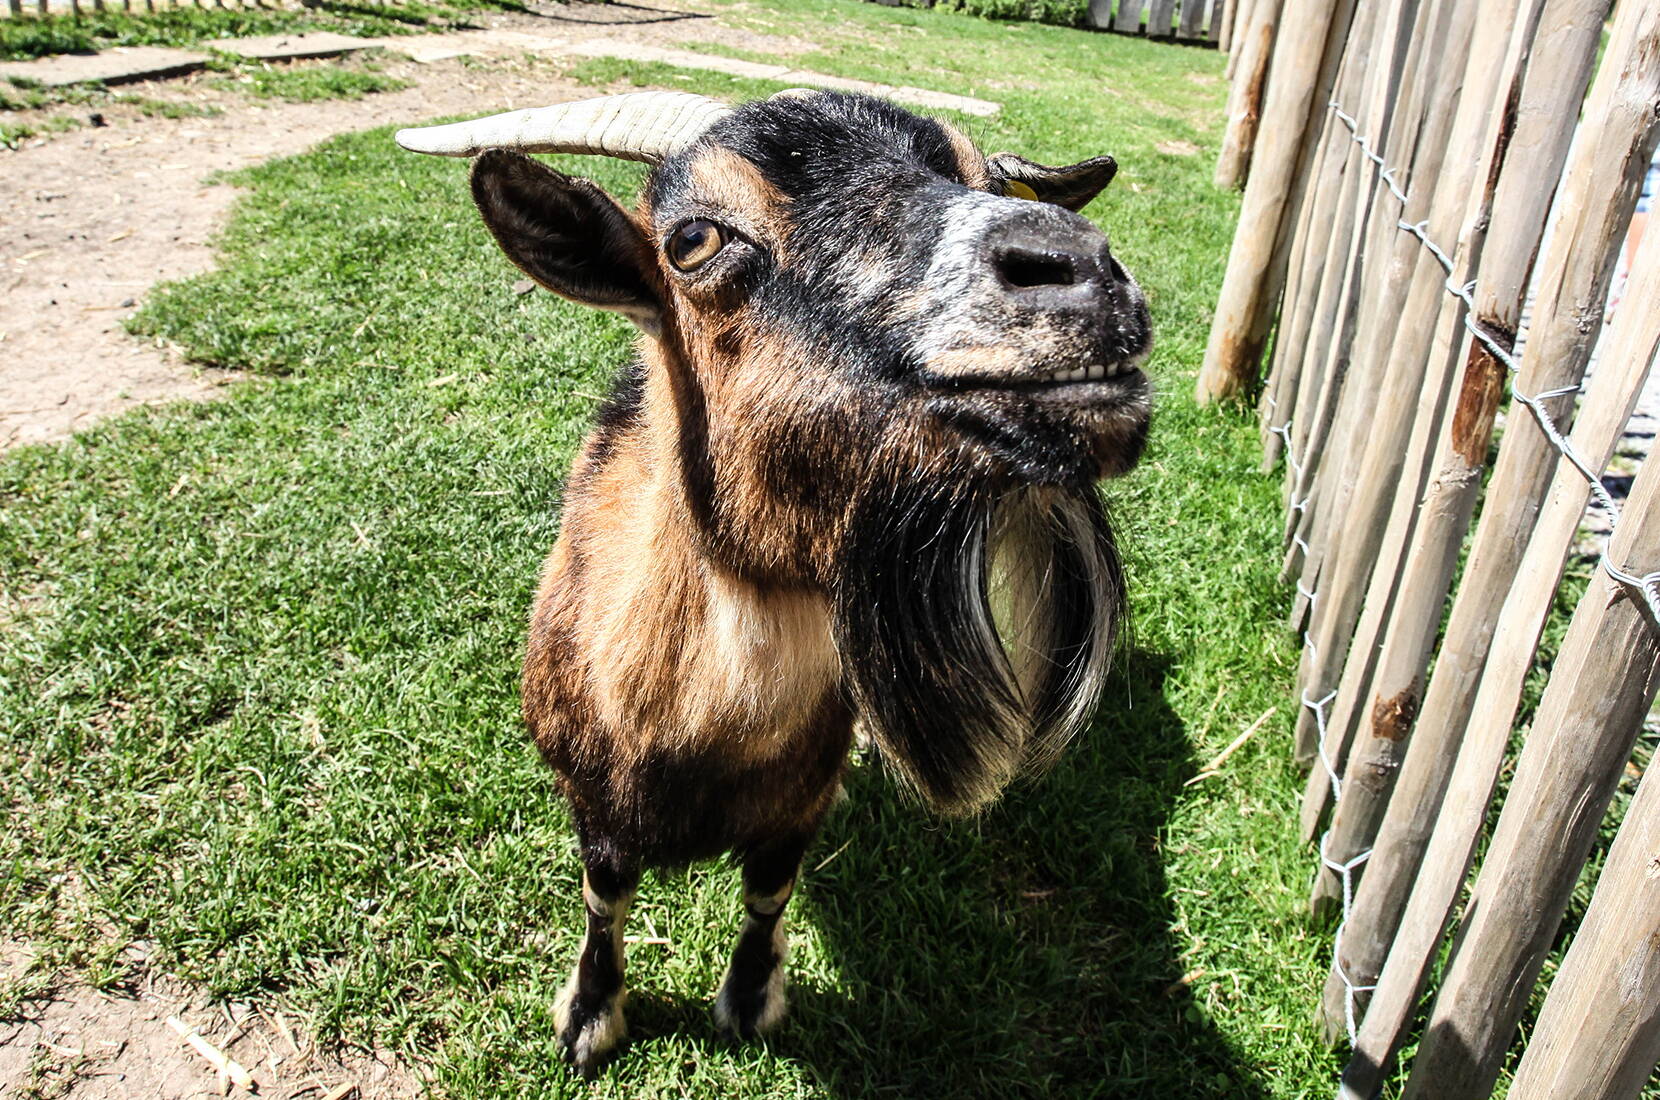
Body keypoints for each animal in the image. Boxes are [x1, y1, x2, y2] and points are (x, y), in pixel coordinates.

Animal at [398, 90, 1155, 1068]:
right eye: (693, 240)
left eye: (987, 180)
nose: (1082, 268)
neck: (697, 724)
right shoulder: (594, 802)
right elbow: (606, 898)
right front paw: (589, 1016)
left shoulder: (796, 804)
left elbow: (768, 896)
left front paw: (751, 1000)